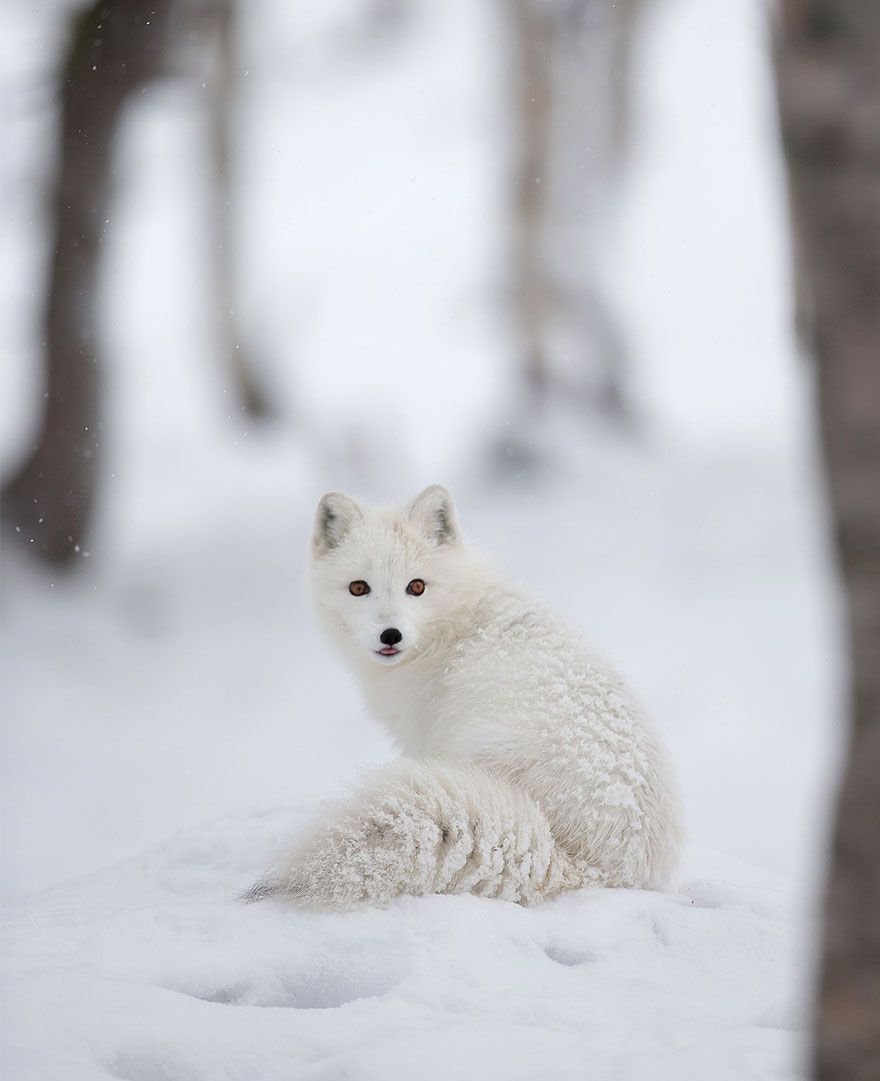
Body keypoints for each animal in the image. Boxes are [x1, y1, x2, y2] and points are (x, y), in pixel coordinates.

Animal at [255, 486, 683, 908]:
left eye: (416, 586)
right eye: (359, 588)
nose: (390, 635)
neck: (454, 624)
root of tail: (602, 869)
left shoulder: (422, 736)